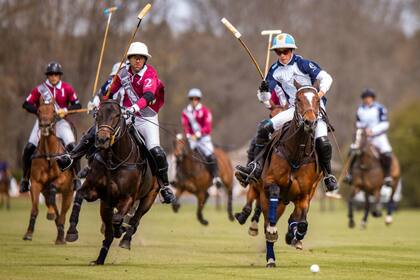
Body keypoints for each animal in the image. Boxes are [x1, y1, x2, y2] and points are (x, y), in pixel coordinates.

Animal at [22, 95, 74, 243]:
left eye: (54, 111)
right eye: (39, 110)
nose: (45, 126)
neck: (49, 155)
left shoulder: (62, 179)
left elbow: (53, 187)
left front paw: (50, 213)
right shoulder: (35, 183)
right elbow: (35, 209)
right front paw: (29, 233)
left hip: (68, 193)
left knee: (62, 214)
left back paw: (61, 236)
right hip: (45, 193)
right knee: (56, 211)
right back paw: (59, 234)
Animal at [65, 98, 159, 264]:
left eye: (117, 116)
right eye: (97, 115)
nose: (102, 140)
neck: (114, 160)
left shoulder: (128, 197)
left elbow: (118, 219)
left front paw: (120, 229)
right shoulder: (96, 192)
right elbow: (79, 196)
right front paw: (71, 231)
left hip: (150, 196)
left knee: (136, 218)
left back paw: (125, 239)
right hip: (106, 204)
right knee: (109, 230)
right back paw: (99, 259)